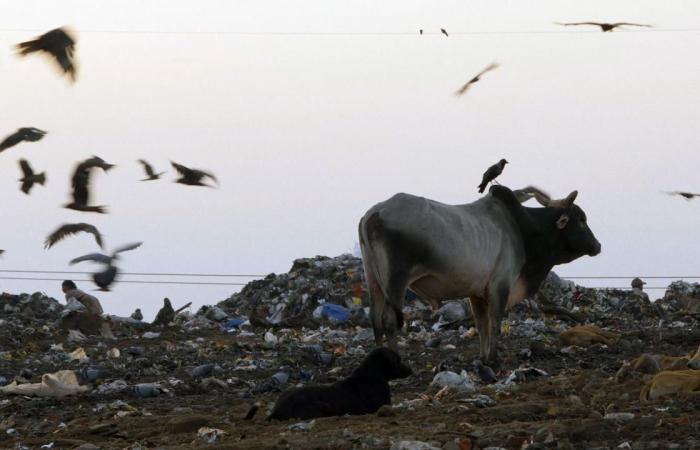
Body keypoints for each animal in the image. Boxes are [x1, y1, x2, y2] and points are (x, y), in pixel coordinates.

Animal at [266, 346, 410, 420]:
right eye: (398, 359)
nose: (411, 370)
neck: (373, 375)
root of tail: (278, 409)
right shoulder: (383, 405)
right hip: (322, 406)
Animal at [358, 185, 600, 366]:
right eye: (581, 220)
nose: (597, 246)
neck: (523, 229)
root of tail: (374, 214)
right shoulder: (500, 285)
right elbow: (495, 322)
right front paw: (493, 359)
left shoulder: (476, 292)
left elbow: (482, 324)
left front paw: (483, 357)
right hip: (395, 281)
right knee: (389, 321)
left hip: (373, 279)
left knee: (375, 319)